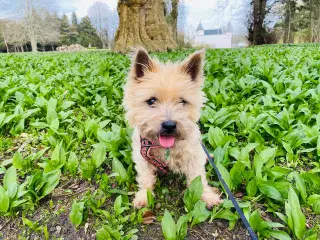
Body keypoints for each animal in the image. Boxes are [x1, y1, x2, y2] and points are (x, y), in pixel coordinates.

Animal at [123, 47, 222, 208]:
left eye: (182, 101)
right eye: (151, 101)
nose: (169, 125)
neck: (167, 148)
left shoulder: (193, 156)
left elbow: (198, 177)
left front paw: (207, 195)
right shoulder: (142, 157)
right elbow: (145, 178)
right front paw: (144, 196)